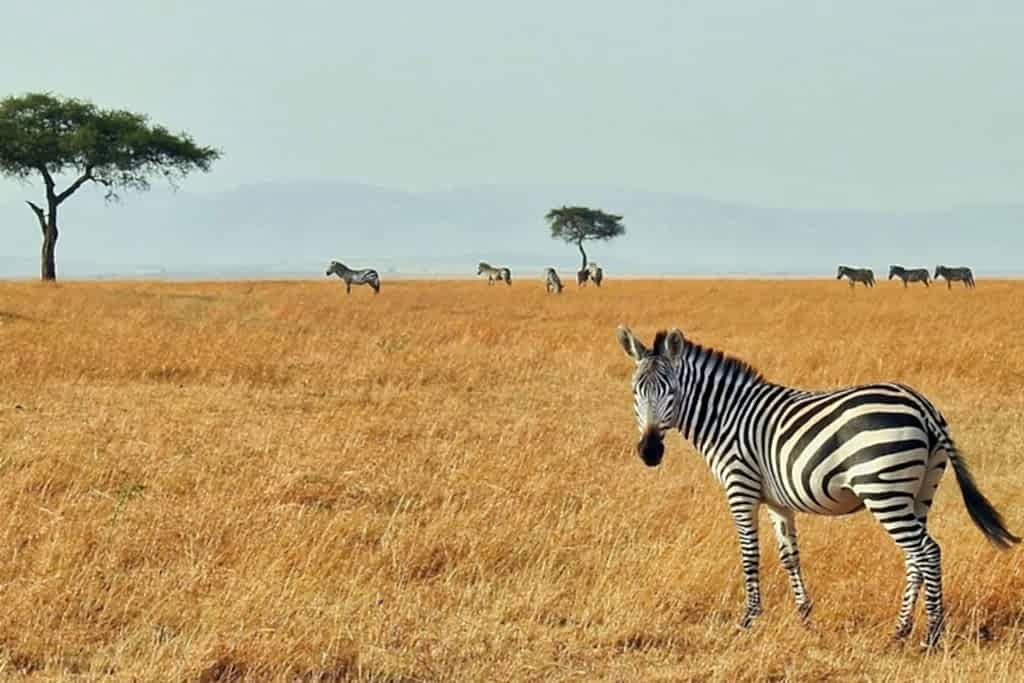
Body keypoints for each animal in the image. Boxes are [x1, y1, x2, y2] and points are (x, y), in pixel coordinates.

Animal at [616, 325, 1019, 648]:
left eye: (670, 390)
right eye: (636, 391)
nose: (649, 452)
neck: (726, 416)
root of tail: (922, 406)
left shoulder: (740, 487)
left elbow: (749, 555)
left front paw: (749, 619)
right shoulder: (777, 500)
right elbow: (789, 556)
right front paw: (804, 617)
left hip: (883, 489)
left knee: (928, 552)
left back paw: (931, 635)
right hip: (920, 491)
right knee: (915, 556)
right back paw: (900, 631)